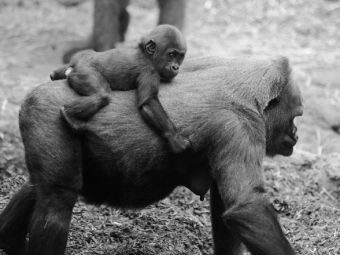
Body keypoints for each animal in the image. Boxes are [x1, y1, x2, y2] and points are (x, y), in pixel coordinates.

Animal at [0, 55, 302, 253]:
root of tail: (33, 93)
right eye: (296, 115)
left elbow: (227, 210)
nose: (296, 134)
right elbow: (248, 207)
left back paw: (9, 239)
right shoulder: (241, 125)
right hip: (47, 111)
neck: (253, 93)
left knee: (39, 188)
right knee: (57, 201)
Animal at [50, 25, 190, 153]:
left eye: (180, 56)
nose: (176, 67)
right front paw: (175, 138)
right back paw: (68, 114)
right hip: (84, 70)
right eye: (171, 54)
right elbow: (148, 102)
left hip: (80, 57)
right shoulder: (150, 71)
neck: (147, 55)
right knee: (102, 94)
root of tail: (74, 64)